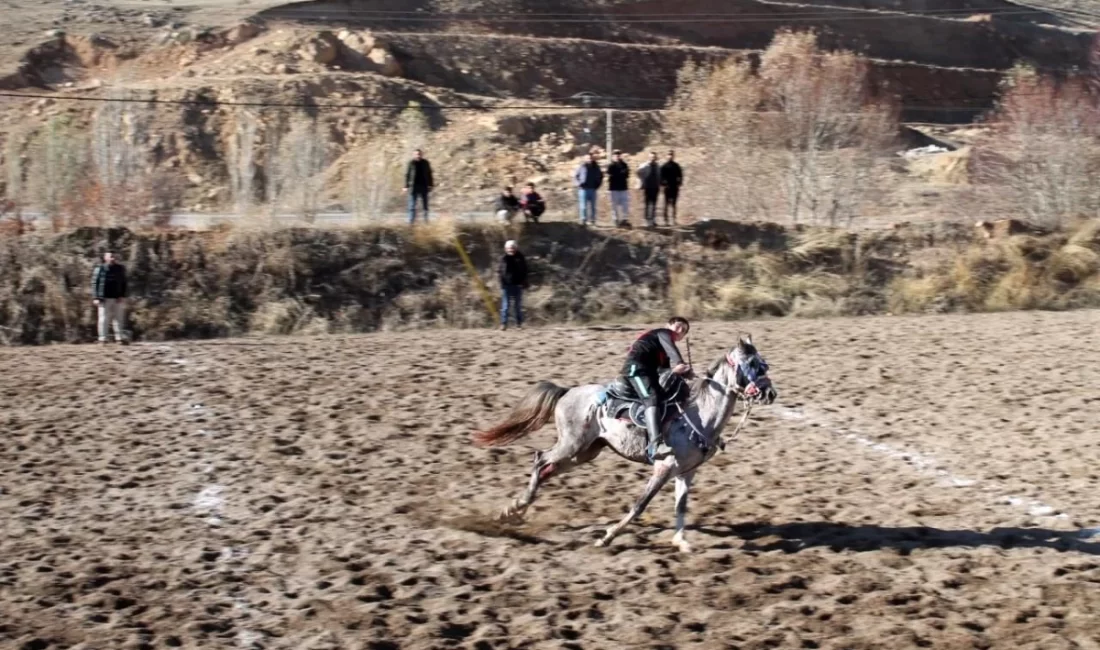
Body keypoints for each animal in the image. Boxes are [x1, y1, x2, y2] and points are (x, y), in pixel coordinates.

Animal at [477, 336, 778, 554]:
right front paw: (607, 537)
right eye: (753, 365)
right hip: (571, 445)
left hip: (584, 452)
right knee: (540, 459)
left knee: (546, 469)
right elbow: (639, 505)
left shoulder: (687, 471)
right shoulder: (663, 467)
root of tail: (568, 391)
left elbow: (681, 506)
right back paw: (517, 507)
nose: (770, 393)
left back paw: (512, 511)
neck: (699, 414)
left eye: (764, 365)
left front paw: (681, 541)